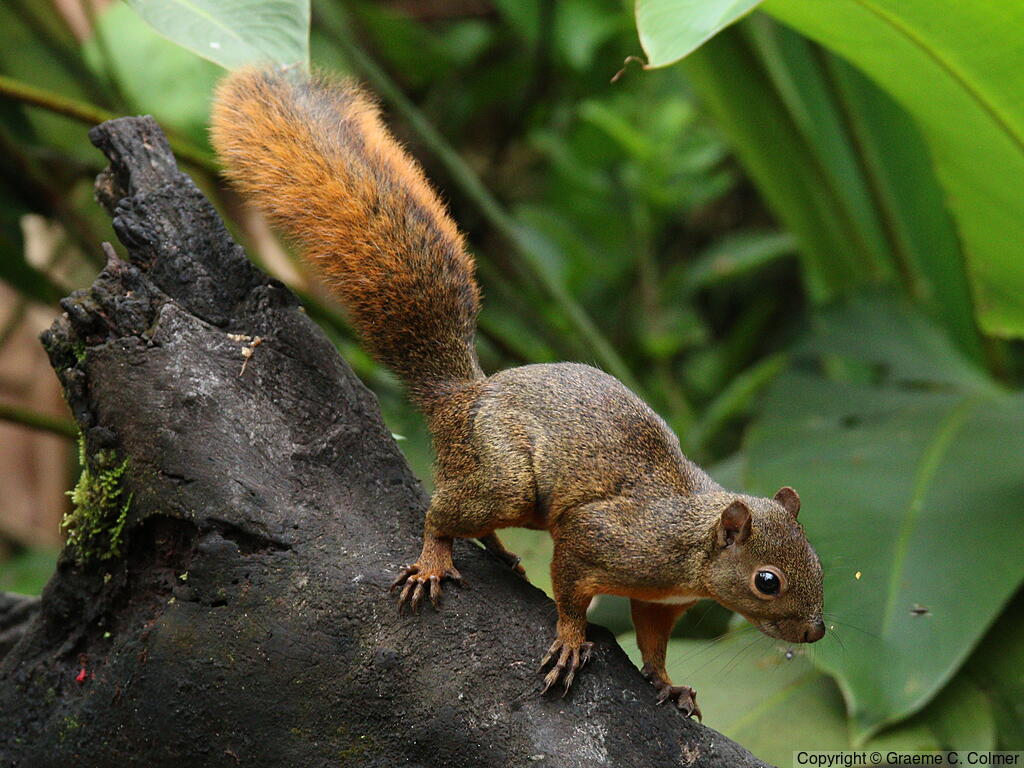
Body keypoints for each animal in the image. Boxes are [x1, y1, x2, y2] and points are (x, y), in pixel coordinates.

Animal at [210, 69, 825, 720]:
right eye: (767, 581)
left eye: (816, 559)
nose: (816, 632)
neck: (689, 545)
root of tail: (461, 398)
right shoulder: (600, 540)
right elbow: (572, 593)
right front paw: (572, 641)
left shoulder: (659, 602)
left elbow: (654, 644)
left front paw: (667, 683)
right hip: (503, 476)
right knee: (440, 512)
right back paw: (435, 559)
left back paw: (500, 554)